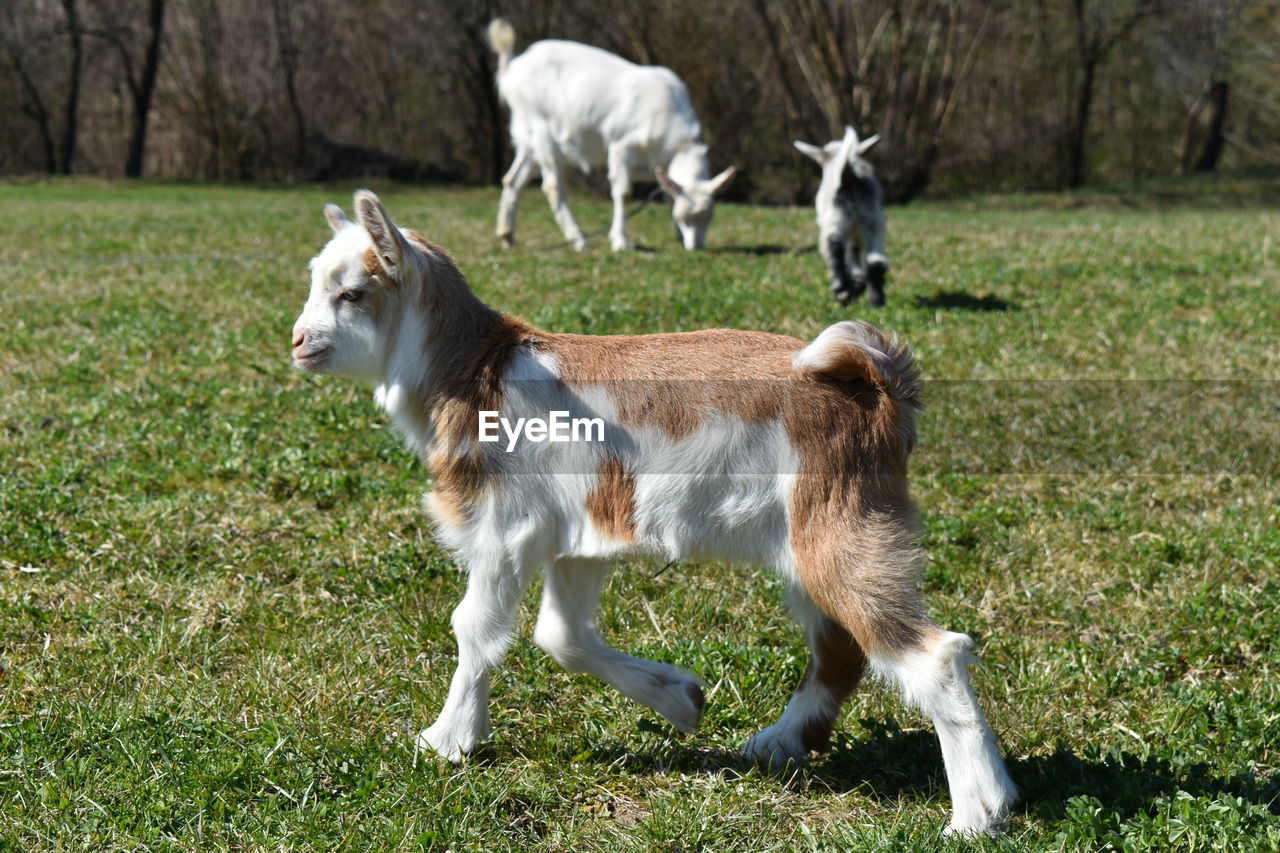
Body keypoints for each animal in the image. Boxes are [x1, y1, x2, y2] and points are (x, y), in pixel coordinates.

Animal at [483, 18, 737, 251]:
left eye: (710, 216)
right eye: (684, 216)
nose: (696, 246)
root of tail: (512, 69)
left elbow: (667, 194)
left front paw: (676, 235)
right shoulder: (621, 147)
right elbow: (623, 193)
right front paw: (621, 241)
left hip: (527, 139)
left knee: (513, 180)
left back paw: (507, 235)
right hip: (543, 131)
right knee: (553, 187)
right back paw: (578, 240)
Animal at [788, 126, 890, 306]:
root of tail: (847, 173)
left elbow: (849, 254)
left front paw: (855, 284)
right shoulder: (858, 229)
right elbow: (854, 252)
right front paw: (859, 282)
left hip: (835, 218)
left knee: (833, 246)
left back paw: (842, 290)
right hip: (873, 220)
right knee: (875, 259)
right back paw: (876, 300)